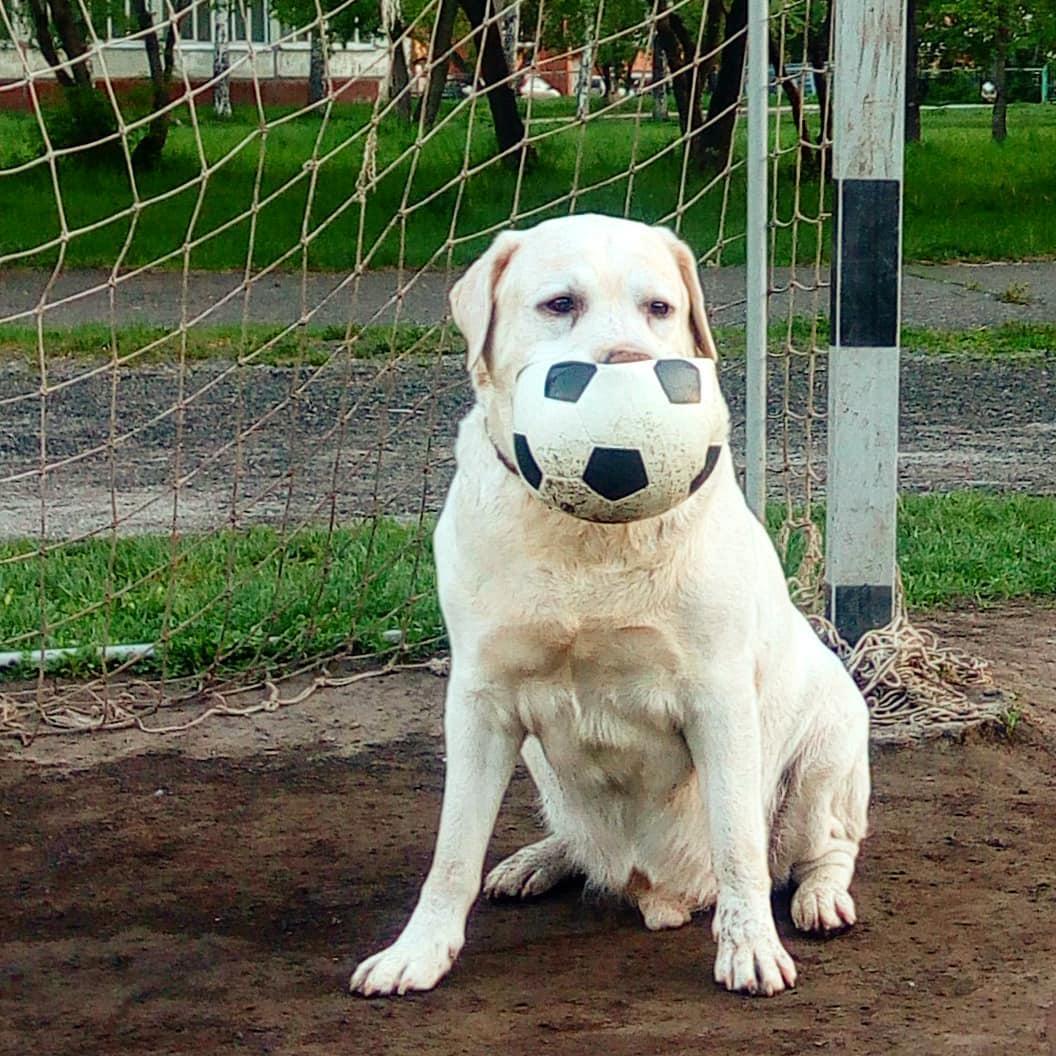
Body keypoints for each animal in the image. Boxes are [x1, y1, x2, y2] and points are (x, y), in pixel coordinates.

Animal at [350, 216, 870, 996]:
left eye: (659, 308)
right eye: (560, 304)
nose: (627, 364)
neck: (590, 538)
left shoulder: (719, 698)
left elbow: (739, 846)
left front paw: (749, 947)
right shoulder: (480, 702)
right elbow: (452, 852)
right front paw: (419, 951)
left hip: (828, 748)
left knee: (821, 847)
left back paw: (820, 898)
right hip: (538, 763)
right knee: (572, 838)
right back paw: (536, 860)